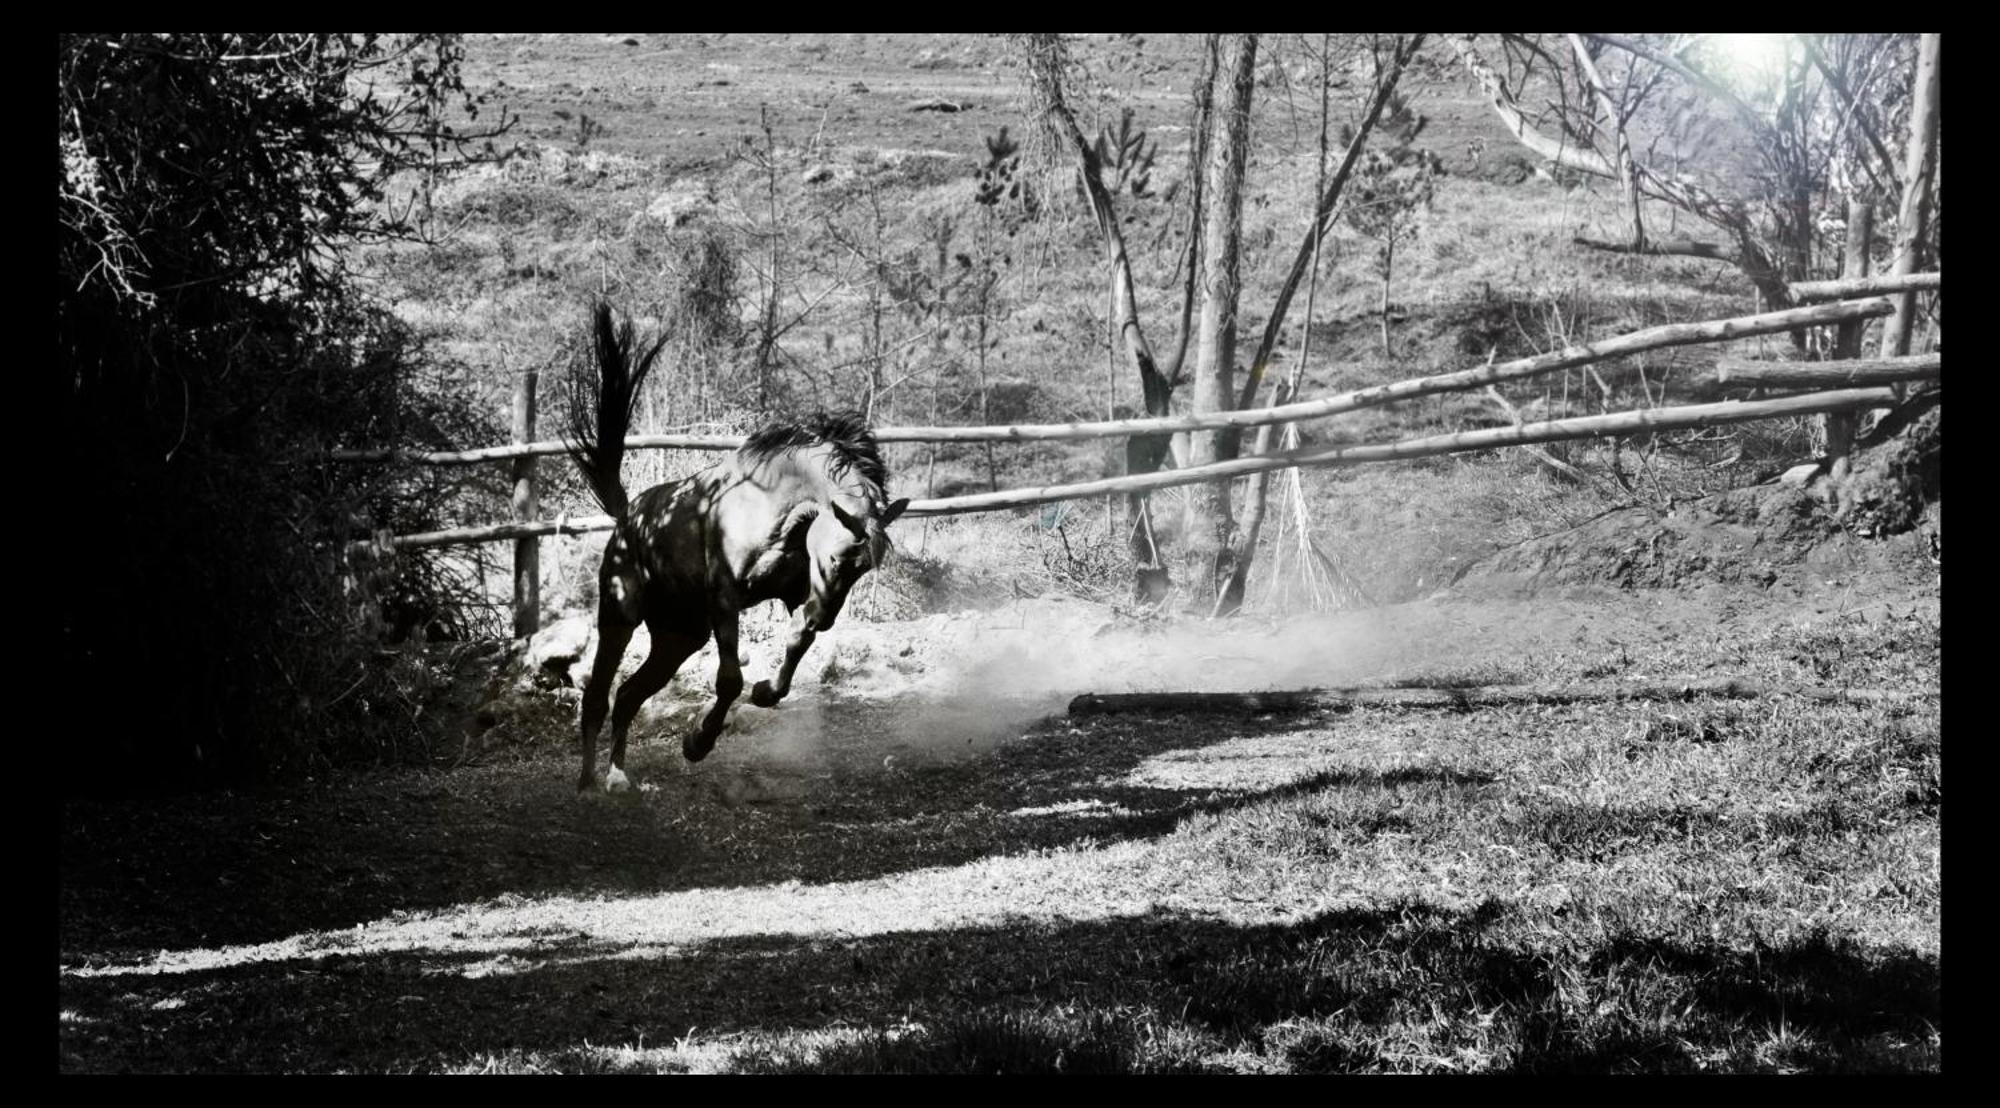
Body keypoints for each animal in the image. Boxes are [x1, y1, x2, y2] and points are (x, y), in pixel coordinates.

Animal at [560, 302, 912, 784]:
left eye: (862, 571)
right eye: (836, 558)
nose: (826, 620)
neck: (771, 506)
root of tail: (628, 514)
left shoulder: (795, 593)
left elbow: (795, 642)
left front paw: (766, 692)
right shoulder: (726, 598)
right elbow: (729, 680)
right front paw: (697, 742)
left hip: (679, 635)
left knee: (629, 695)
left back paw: (618, 778)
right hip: (620, 615)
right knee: (597, 695)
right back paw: (588, 783)